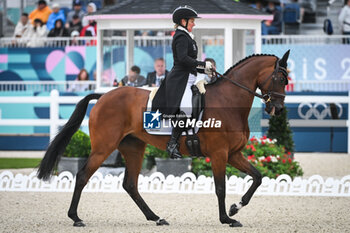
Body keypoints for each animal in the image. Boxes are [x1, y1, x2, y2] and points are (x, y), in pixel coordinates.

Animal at [37, 50, 290, 228]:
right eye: (279, 78)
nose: (277, 109)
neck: (229, 101)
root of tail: (103, 96)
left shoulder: (233, 154)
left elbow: (257, 177)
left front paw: (236, 207)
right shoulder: (219, 154)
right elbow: (220, 187)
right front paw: (226, 219)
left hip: (133, 148)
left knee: (130, 184)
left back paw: (156, 217)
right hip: (103, 147)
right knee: (82, 176)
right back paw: (76, 218)